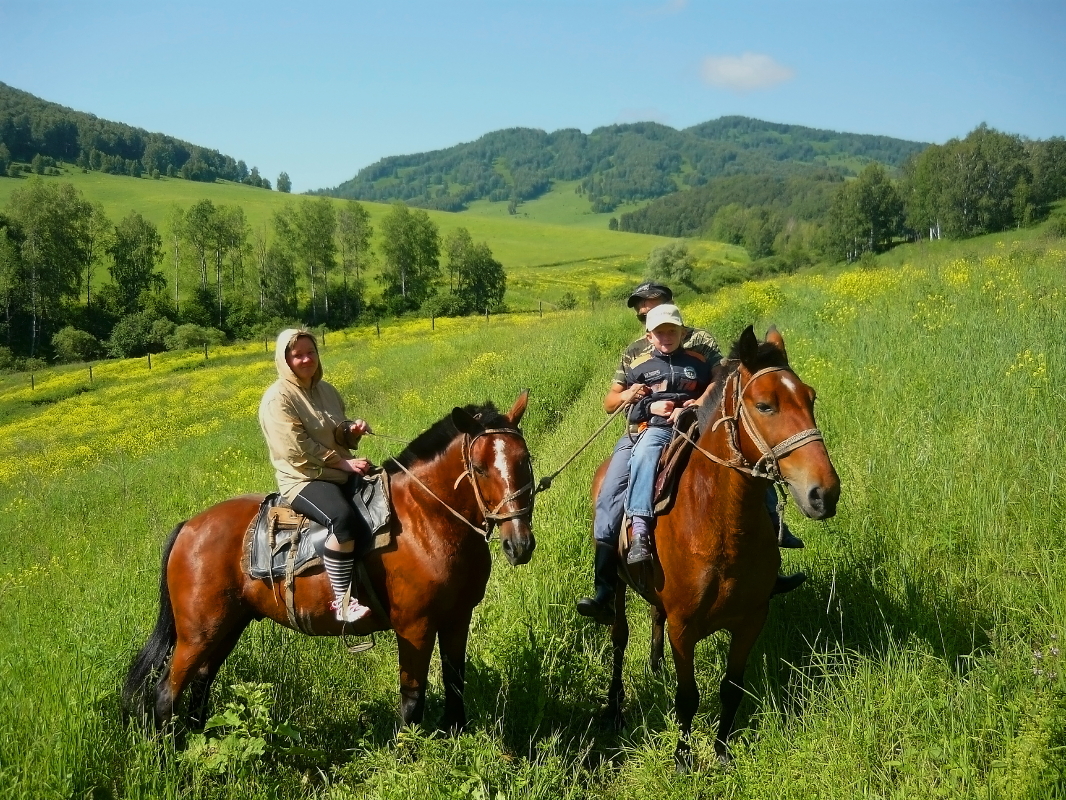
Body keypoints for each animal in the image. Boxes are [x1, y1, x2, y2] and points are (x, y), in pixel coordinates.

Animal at [124, 392, 537, 738]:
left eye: (524, 460)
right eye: (480, 468)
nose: (519, 544)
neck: (427, 517)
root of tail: (188, 528)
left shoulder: (457, 617)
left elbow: (455, 683)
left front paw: (456, 737)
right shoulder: (415, 628)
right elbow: (412, 700)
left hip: (226, 626)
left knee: (201, 683)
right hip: (197, 634)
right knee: (166, 695)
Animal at [596, 326, 835, 772]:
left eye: (810, 398)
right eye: (764, 405)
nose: (824, 493)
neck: (719, 523)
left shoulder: (751, 620)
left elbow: (731, 689)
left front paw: (722, 751)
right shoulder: (684, 627)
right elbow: (687, 698)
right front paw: (683, 757)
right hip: (617, 588)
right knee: (618, 639)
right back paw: (614, 706)